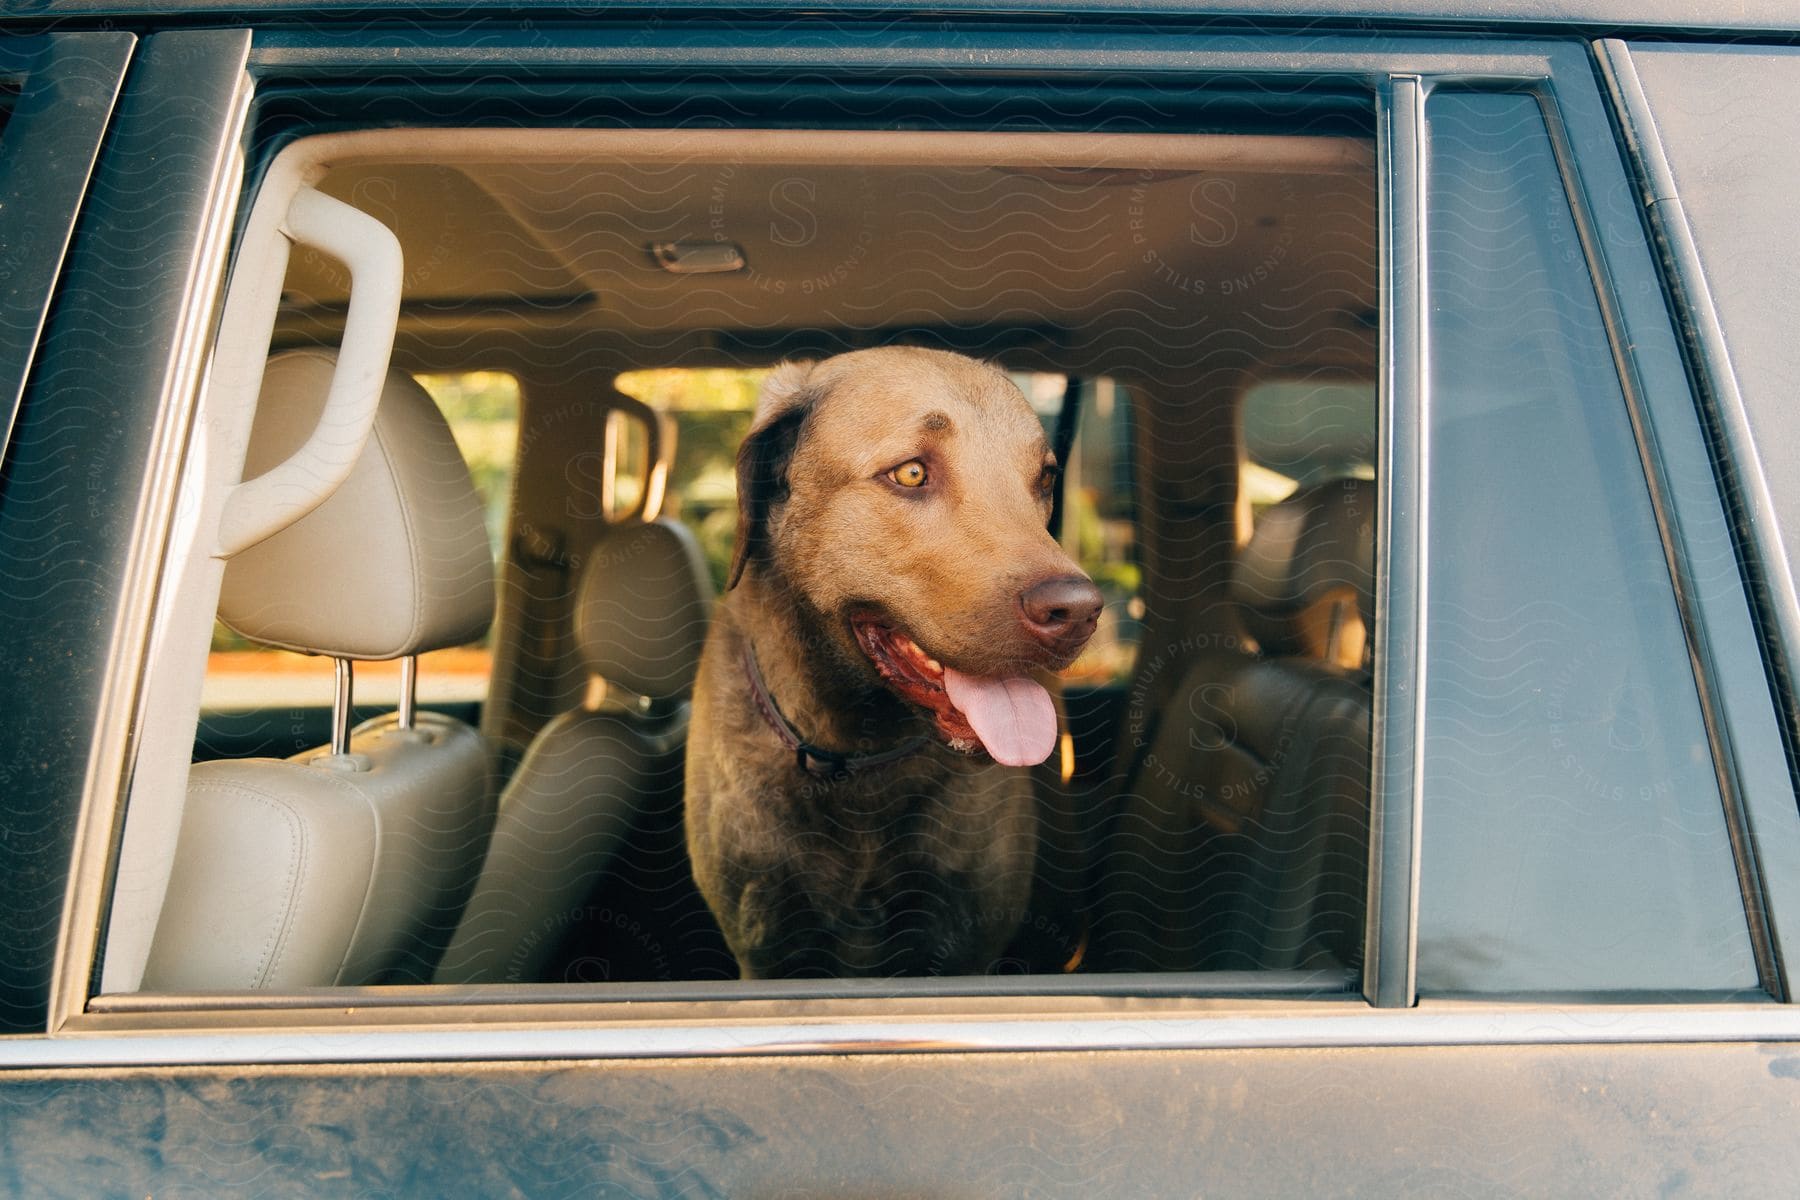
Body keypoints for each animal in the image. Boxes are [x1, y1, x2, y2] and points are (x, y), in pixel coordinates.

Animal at [680, 341, 1094, 978]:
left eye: (1044, 478)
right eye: (912, 473)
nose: (1078, 612)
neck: (859, 755)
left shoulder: (963, 941)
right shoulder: (767, 949)